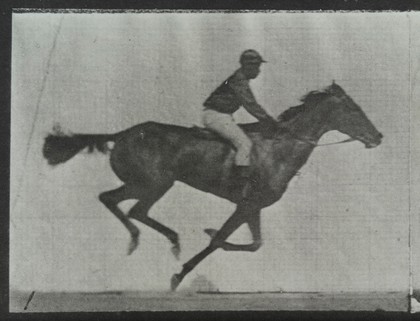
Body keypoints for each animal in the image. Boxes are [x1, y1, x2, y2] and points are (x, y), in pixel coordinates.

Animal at [43, 82, 384, 290]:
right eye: (353, 109)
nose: (378, 136)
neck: (279, 148)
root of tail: (123, 133)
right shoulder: (246, 204)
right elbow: (220, 239)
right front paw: (182, 270)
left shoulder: (252, 206)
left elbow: (254, 244)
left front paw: (194, 254)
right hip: (154, 184)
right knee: (133, 209)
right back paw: (160, 239)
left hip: (141, 183)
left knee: (112, 200)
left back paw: (145, 239)